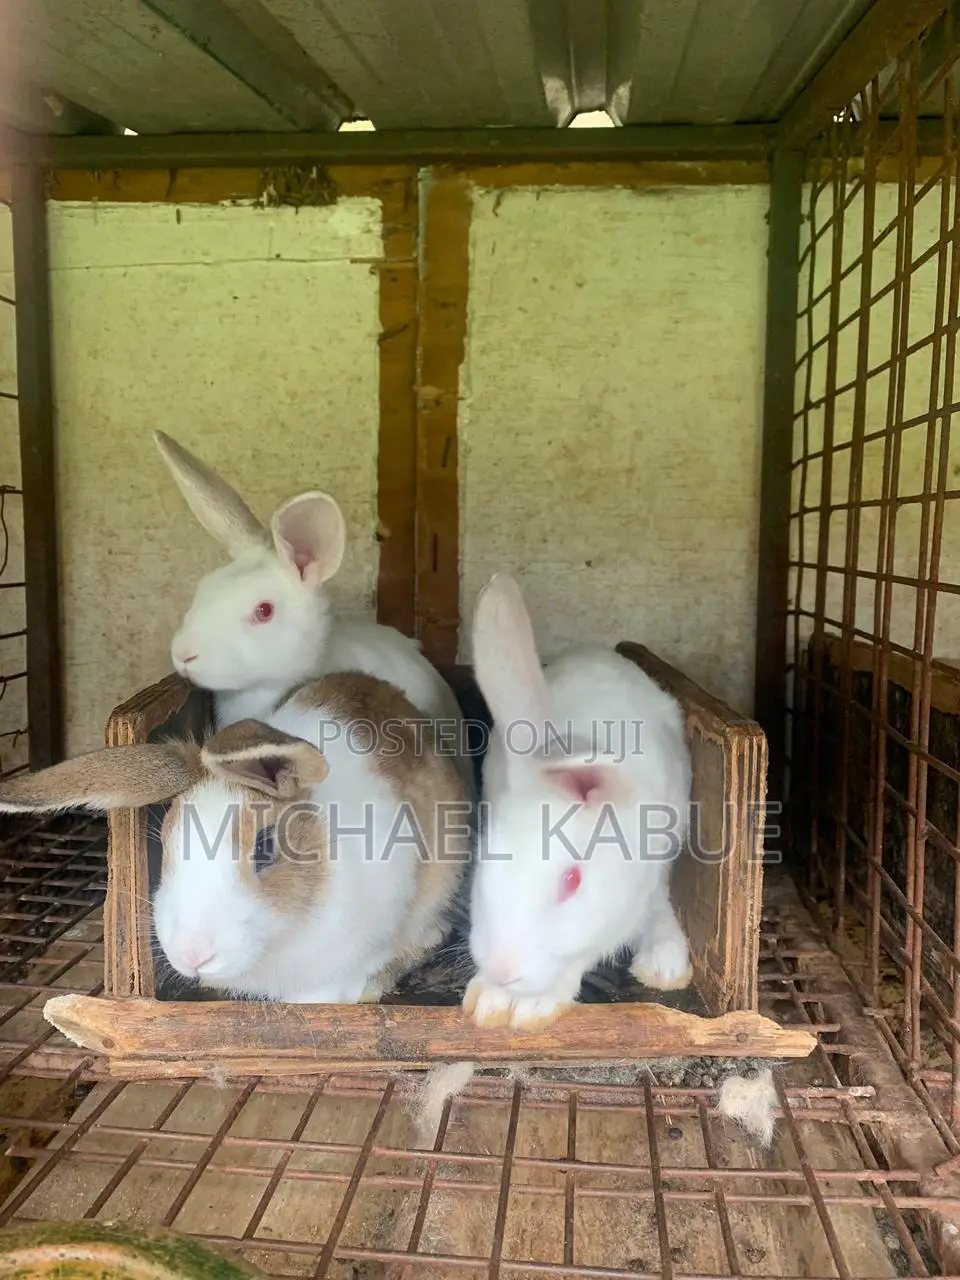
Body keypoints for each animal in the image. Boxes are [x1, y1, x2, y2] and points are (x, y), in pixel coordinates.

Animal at [463, 572, 693, 1030]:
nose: (502, 968)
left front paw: (532, 1007)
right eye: (485, 858)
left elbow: (583, 955)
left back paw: (664, 963)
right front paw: (488, 1000)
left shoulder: (620, 908)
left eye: (572, 880)